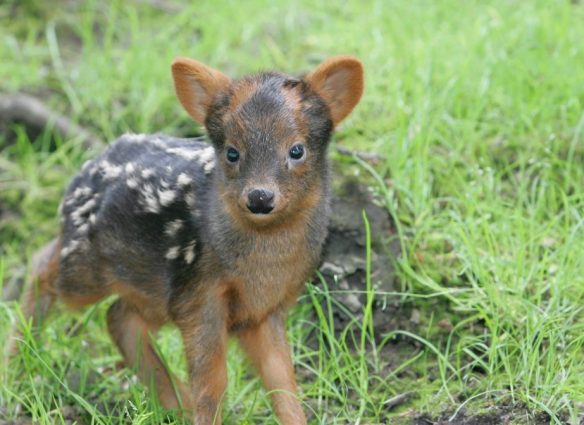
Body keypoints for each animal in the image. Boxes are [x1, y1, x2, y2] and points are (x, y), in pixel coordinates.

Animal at [8, 56, 364, 424]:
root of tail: (84, 170)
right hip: (84, 269)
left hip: (152, 290)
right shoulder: (199, 294)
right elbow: (214, 381)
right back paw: (17, 366)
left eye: (297, 150)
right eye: (232, 152)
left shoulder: (265, 309)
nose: (260, 197)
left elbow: (282, 379)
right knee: (42, 265)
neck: (263, 268)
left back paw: (176, 403)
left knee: (118, 316)